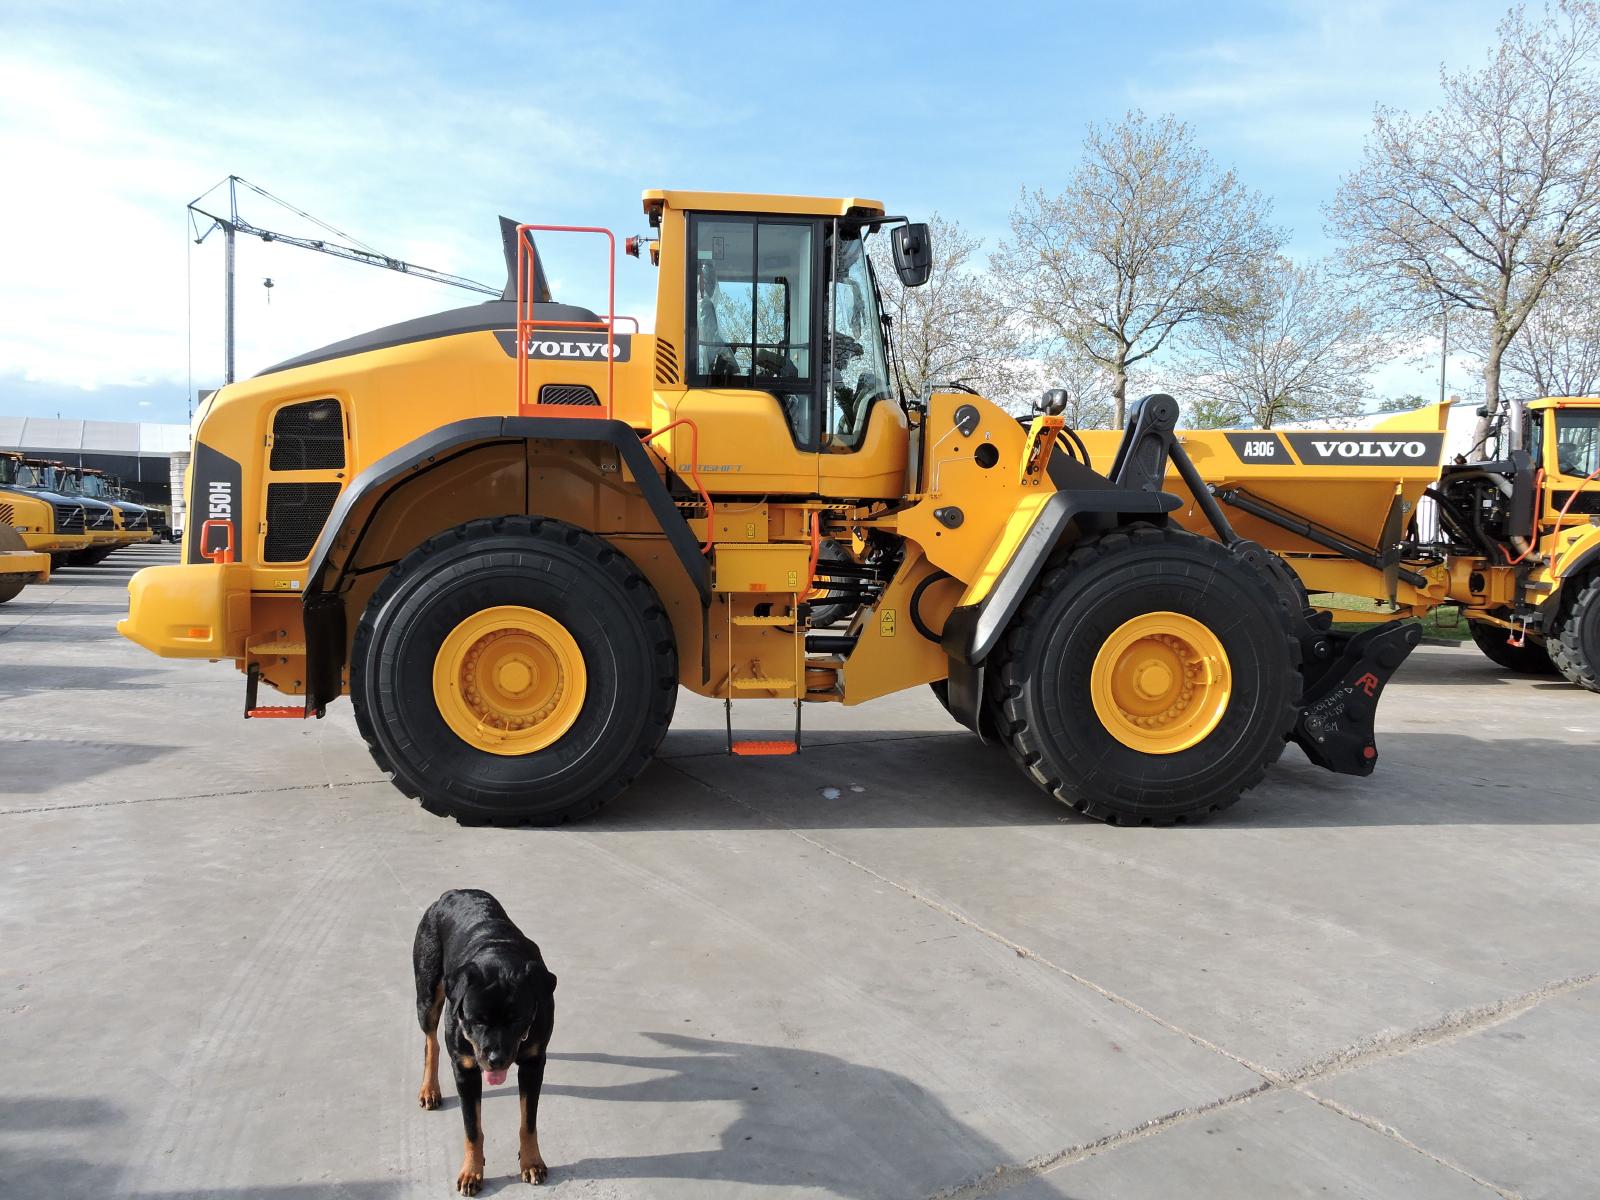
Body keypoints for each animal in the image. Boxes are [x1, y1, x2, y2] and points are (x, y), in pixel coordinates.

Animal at [414, 889, 557, 1194]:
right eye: (476, 1019)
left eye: (517, 1019)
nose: (495, 1059)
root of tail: (452, 893)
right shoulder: (465, 1068)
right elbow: (472, 1128)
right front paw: (471, 1172)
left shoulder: (533, 1063)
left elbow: (528, 1121)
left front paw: (531, 1162)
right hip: (427, 992)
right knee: (431, 1041)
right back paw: (429, 1089)